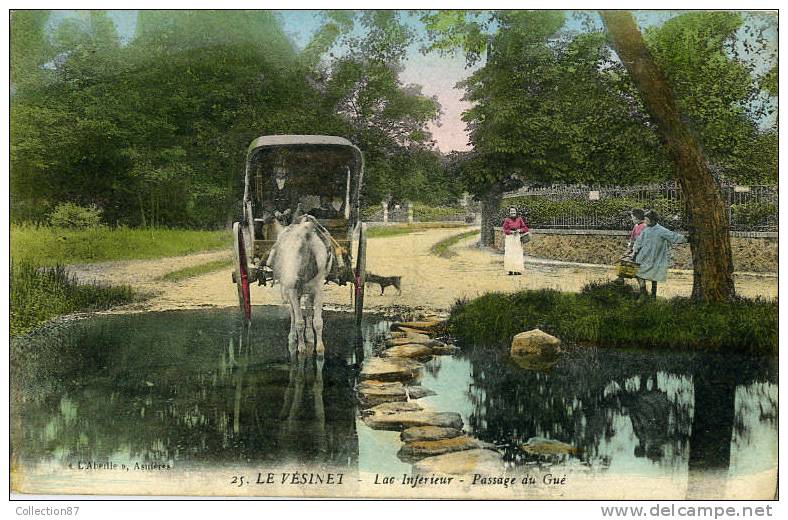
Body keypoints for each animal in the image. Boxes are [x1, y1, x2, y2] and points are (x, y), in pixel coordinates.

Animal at [268, 214, 332, 354]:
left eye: (301, 248)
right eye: (280, 251)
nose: (288, 279)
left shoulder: (318, 289)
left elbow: (317, 321)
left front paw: (319, 347)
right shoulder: (292, 290)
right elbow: (299, 321)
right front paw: (301, 348)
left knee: (307, 310)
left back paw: (309, 336)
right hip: (292, 292)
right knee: (293, 313)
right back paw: (293, 337)